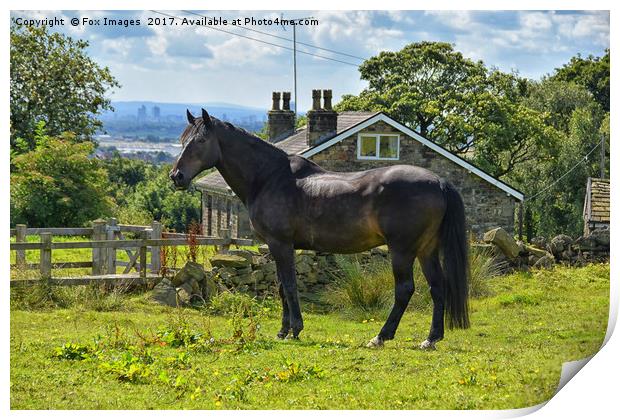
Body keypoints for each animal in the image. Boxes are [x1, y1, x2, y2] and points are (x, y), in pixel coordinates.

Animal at [171, 109, 470, 352]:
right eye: (183, 140)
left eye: (200, 141)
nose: (176, 176)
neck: (269, 177)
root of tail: (439, 182)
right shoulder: (278, 247)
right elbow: (281, 286)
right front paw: (282, 331)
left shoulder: (280, 244)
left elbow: (289, 285)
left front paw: (295, 330)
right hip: (426, 250)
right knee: (437, 287)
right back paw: (431, 339)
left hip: (402, 250)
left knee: (405, 289)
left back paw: (381, 336)